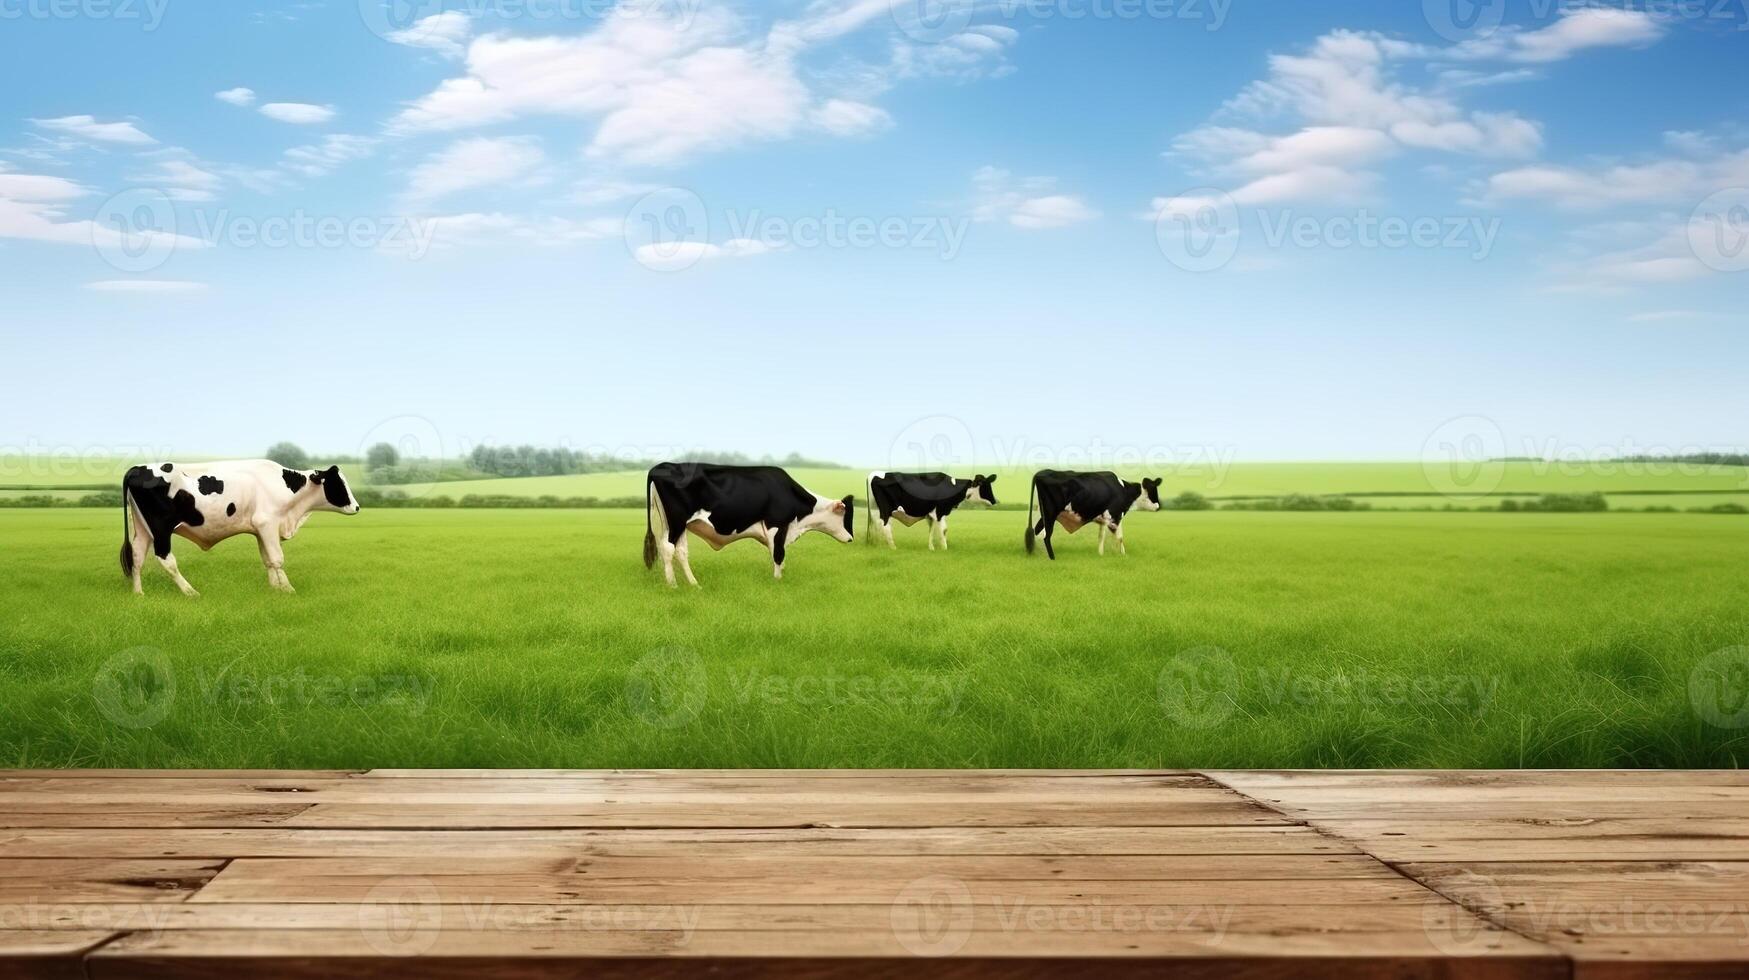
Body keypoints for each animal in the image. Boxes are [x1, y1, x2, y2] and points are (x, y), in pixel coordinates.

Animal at [120, 462, 362, 598]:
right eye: (337, 484)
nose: (358, 507)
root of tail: (137, 468)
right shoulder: (268, 523)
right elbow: (277, 559)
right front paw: (288, 589)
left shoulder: (260, 529)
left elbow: (268, 560)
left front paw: (274, 589)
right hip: (161, 527)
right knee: (166, 559)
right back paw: (190, 592)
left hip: (142, 527)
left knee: (138, 557)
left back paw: (138, 593)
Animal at [650, 462, 853, 584]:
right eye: (845, 517)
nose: (851, 539)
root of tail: (663, 465)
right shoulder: (776, 525)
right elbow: (778, 554)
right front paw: (777, 580)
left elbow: (776, 553)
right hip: (676, 521)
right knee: (668, 548)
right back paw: (673, 585)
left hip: (675, 524)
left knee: (680, 550)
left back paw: (693, 584)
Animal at [864, 469, 1000, 546]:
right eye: (983, 485)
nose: (995, 501)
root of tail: (873, 474)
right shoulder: (940, 510)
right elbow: (943, 530)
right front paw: (944, 548)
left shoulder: (932, 513)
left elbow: (933, 529)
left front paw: (931, 548)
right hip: (884, 510)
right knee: (885, 527)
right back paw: (893, 548)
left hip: (875, 510)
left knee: (876, 527)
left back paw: (878, 545)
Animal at [1021, 469, 1161, 560]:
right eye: (1151, 491)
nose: (1158, 506)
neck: (1124, 490)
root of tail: (1040, 473)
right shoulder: (1114, 515)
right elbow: (1119, 537)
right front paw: (1123, 554)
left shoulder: (1105, 518)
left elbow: (1101, 536)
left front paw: (1101, 554)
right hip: (1050, 512)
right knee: (1046, 536)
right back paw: (1052, 557)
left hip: (1042, 513)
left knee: (1038, 532)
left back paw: (1037, 555)